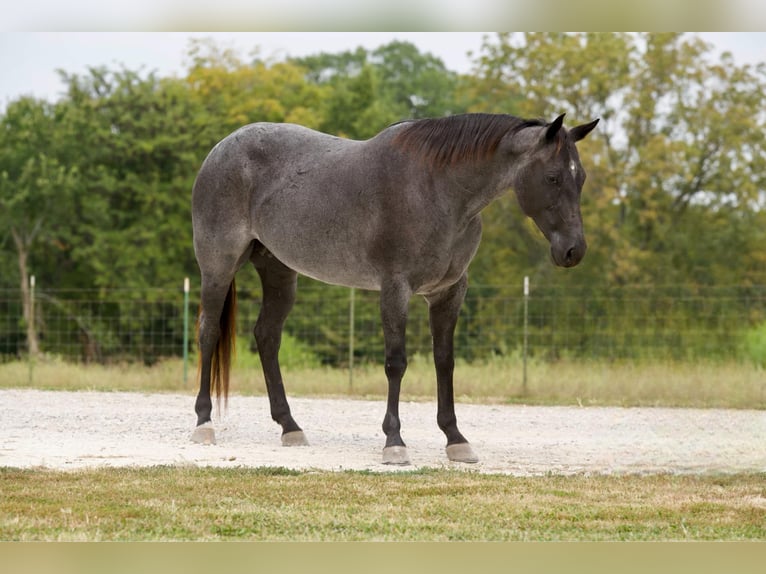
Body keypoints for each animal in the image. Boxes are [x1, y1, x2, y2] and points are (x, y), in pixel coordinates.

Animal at [190, 112, 599, 465]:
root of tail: (221, 149)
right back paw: (204, 423)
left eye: (580, 178)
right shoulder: (395, 289)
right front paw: (394, 442)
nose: (573, 251)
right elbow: (396, 363)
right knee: (209, 332)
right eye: (553, 178)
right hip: (218, 266)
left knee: (267, 337)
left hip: (279, 272)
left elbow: (444, 361)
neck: (438, 190)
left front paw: (456, 439)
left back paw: (290, 427)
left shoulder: (449, 292)